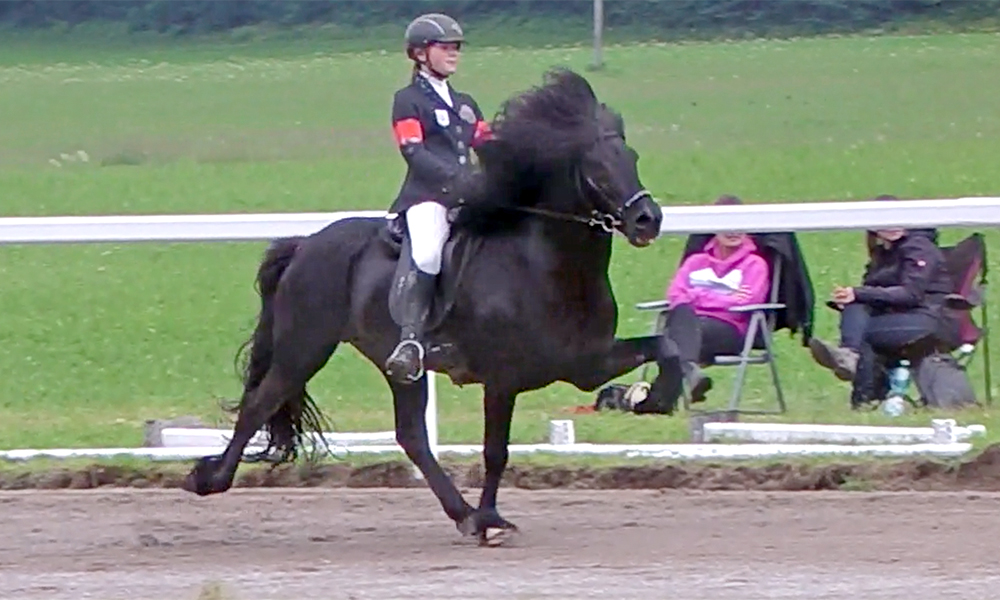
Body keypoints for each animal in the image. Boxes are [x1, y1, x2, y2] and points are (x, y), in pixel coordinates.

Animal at [182, 69, 664, 544]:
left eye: (633, 157)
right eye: (597, 169)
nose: (649, 220)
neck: (545, 264)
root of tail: (305, 245)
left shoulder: (587, 364)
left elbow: (664, 347)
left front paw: (658, 396)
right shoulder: (503, 378)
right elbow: (495, 451)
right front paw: (492, 519)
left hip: (394, 364)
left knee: (411, 435)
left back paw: (462, 514)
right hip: (305, 347)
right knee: (260, 403)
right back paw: (208, 479)